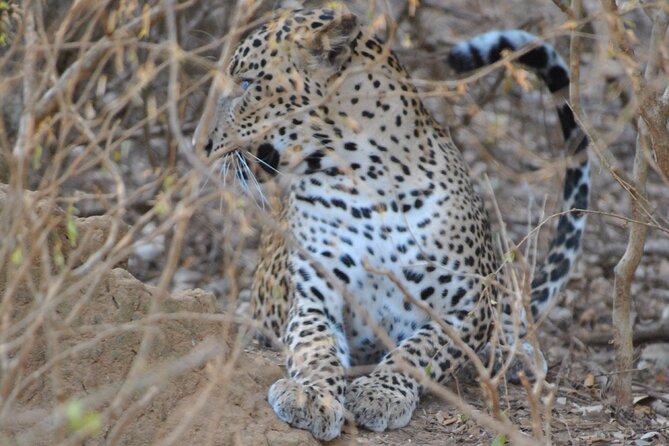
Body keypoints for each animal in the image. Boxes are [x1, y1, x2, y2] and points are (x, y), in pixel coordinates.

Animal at [193, 6, 588, 440]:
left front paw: (380, 392)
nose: (200, 144)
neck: (365, 184)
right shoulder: (315, 297)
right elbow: (315, 347)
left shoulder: (469, 306)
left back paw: (516, 355)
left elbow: (422, 349)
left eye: (247, 83)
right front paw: (312, 396)